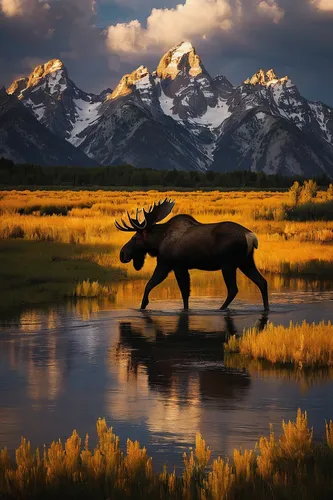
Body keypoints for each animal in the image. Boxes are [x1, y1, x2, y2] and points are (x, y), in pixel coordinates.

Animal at [115, 198, 268, 308]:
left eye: (135, 238)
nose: (122, 253)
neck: (158, 241)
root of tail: (251, 237)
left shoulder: (169, 265)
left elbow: (152, 285)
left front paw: (143, 305)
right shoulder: (180, 267)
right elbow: (185, 293)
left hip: (228, 264)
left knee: (233, 289)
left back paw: (221, 309)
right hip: (246, 262)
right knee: (262, 282)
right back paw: (266, 308)